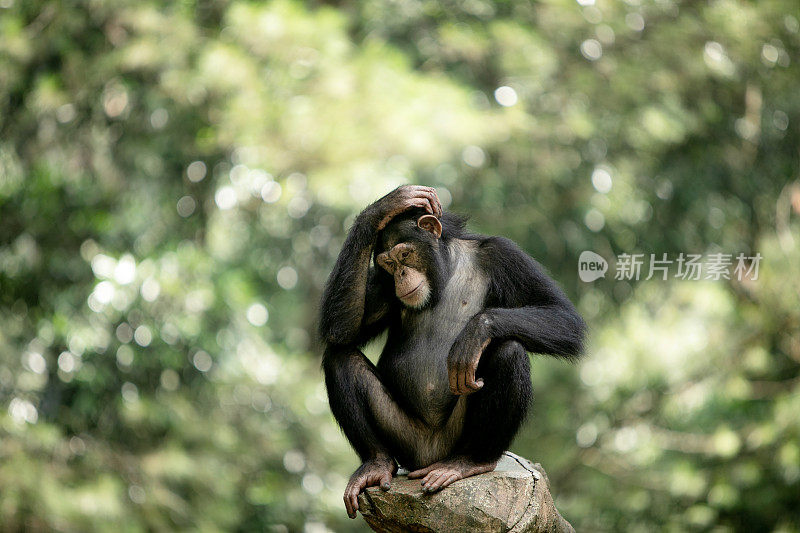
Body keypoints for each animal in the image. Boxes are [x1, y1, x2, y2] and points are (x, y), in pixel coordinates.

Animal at [318, 185, 588, 516]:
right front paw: (387, 206)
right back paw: (375, 464)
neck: (444, 270)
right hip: (406, 441)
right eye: (388, 263)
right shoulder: (381, 282)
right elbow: (342, 331)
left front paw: (476, 332)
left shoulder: (503, 254)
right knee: (339, 357)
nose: (401, 276)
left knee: (509, 350)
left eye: (404, 254)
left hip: (453, 440)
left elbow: (563, 317)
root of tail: (429, 459)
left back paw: (470, 462)